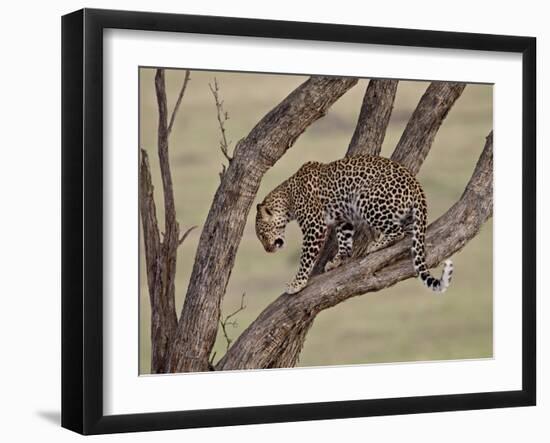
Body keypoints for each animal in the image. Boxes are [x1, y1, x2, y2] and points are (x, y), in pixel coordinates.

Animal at [256, 154, 454, 296]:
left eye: (262, 235)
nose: (267, 250)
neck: (288, 198)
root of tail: (416, 184)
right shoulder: (343, 220)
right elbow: (344, 242)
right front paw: (337, 260)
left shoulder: (315, 225)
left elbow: (305, 258)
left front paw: (297, 284)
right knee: (410, 231)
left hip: (366, 198)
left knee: (397, 231)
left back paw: (376, 244)